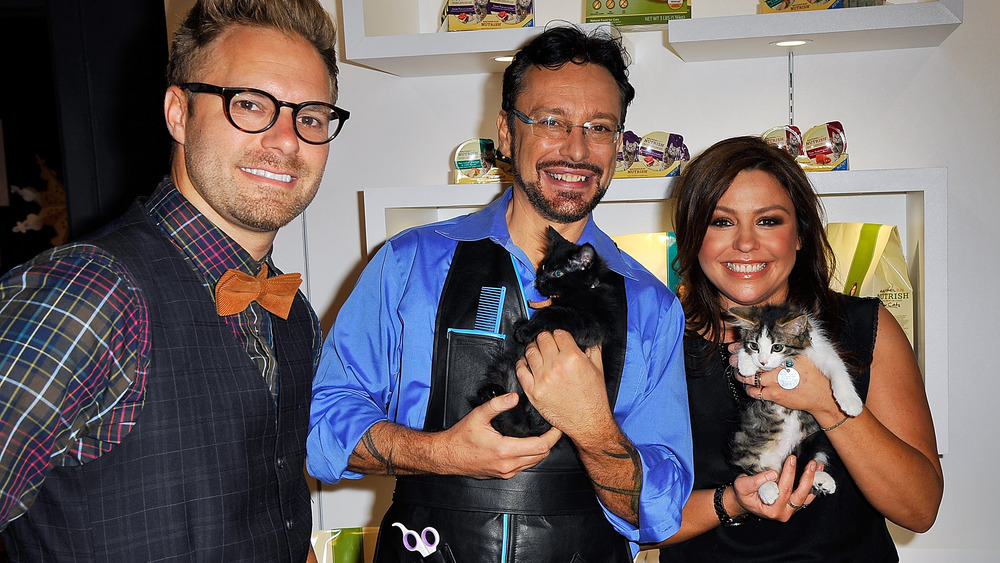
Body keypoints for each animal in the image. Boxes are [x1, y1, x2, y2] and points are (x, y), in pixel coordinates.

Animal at [470, 227, 616, 438]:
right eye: (544, 266)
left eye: (558, 272)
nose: (539, 281)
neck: (584, 290)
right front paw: (523, 324)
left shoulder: (592, 325)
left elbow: (554, 311)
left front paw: (525, 330)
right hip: (506, 366)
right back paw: (490, 392)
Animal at [728, 306, 860, 504]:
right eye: (754, 346)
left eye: (777, 347)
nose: (763, 362)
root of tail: (778, 465)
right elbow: (739, 348)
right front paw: (745, 364)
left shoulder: (822, 351)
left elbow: (838, 369)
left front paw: (850, 402)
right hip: (743, 439)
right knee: (751, 466)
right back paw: (767, 486)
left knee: (811, 462)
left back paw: (822, 479)